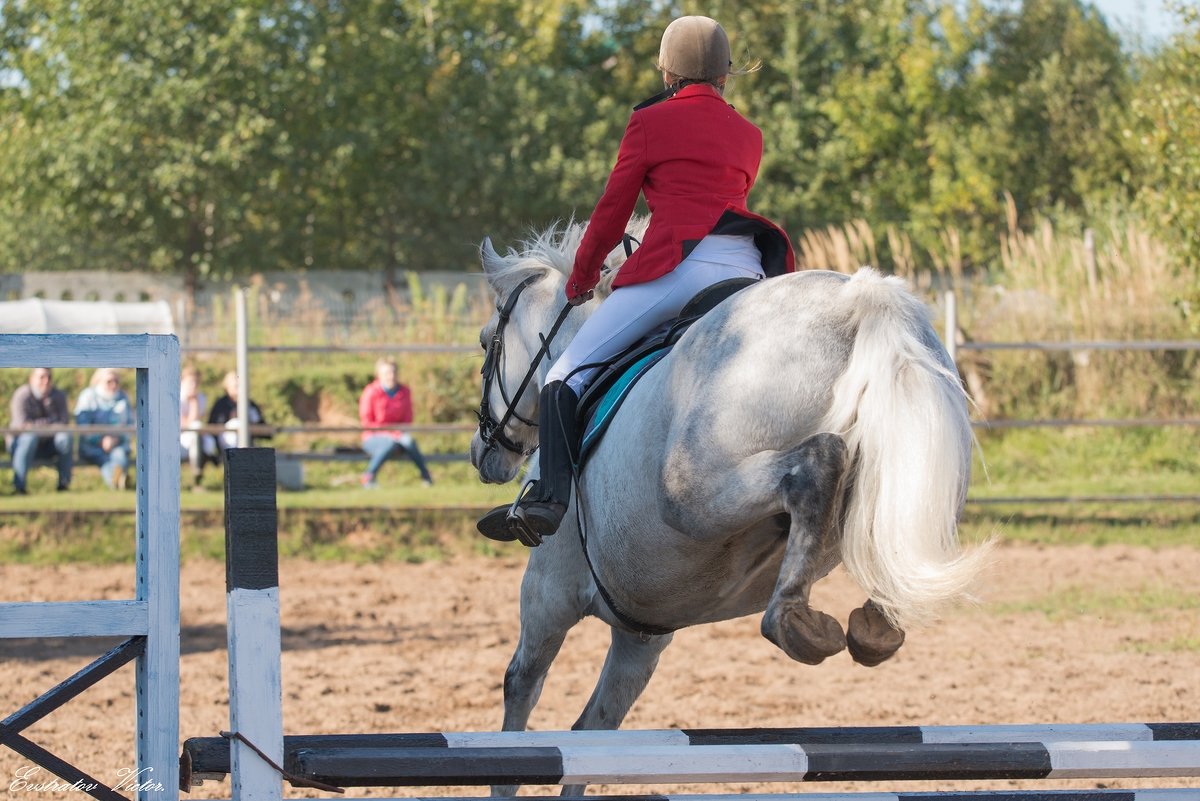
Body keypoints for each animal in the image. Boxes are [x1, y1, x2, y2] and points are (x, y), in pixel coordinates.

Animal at [465, 219, 984, 796]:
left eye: (486, 342)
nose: (483, 453)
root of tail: (854, 301)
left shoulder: (549, 592)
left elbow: (521, 694)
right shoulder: (641, 632)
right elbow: (592, 735)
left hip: (689, 493)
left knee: (814, 467)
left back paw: (793, 619)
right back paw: (875, 621)